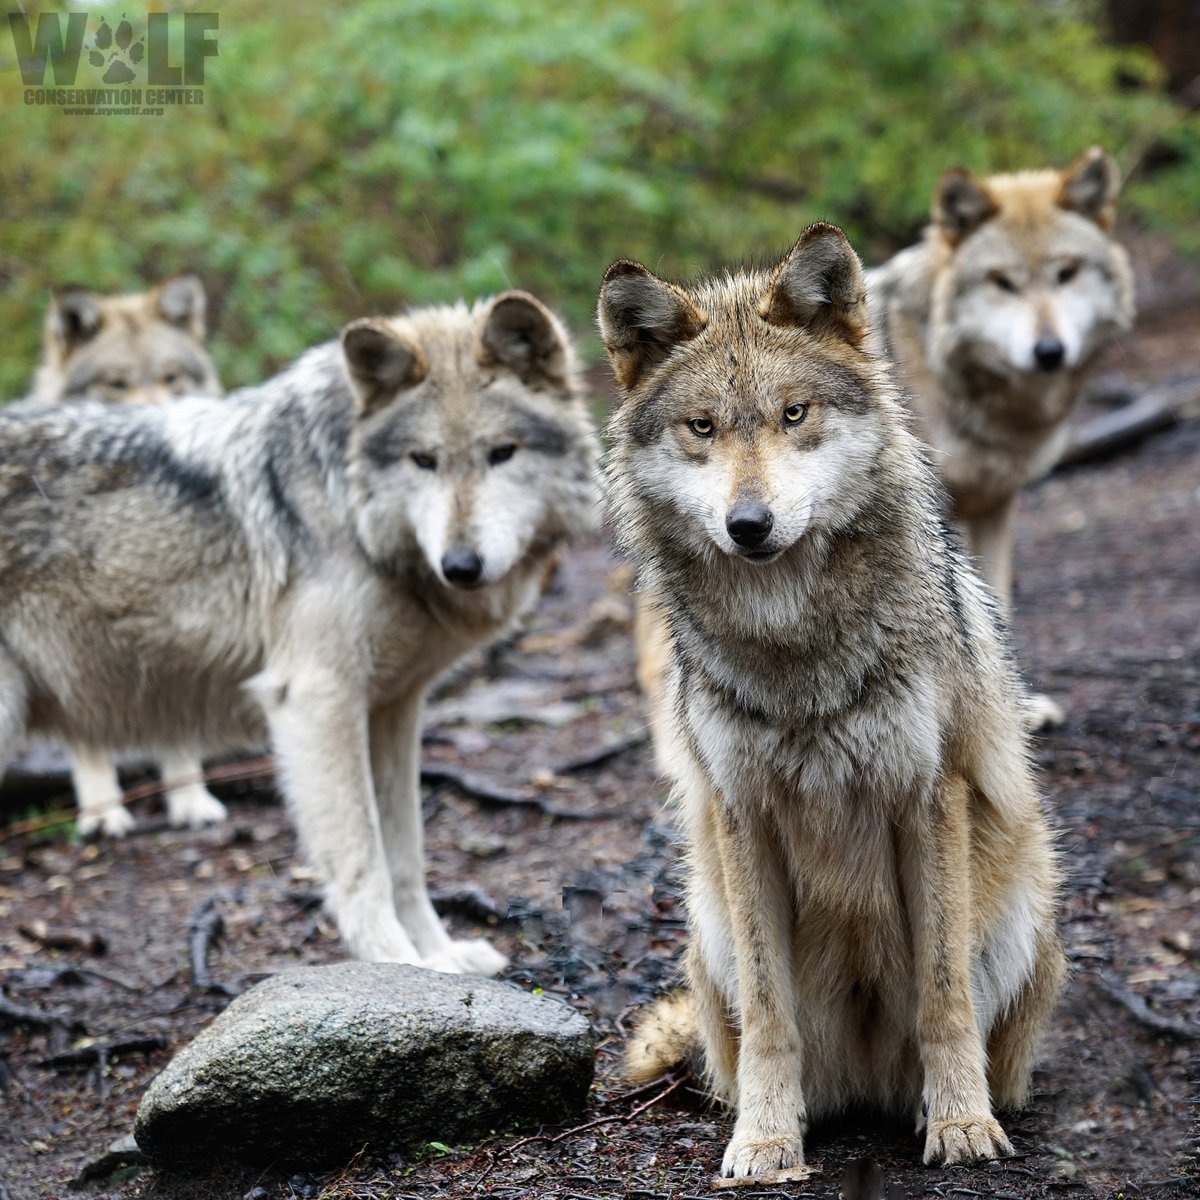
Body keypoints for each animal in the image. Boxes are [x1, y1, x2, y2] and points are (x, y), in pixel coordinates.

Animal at [599, 225, 1065, 1176]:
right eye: (703, 427)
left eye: (793, 415)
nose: (749, 525)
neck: (795, 651)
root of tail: (867, 1085)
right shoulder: (742, 814)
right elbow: (771, 1018)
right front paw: (766, 1141)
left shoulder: (928, 797)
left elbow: (943, 999)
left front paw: (961, 1125)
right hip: (709, 929)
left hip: (1025, 906)